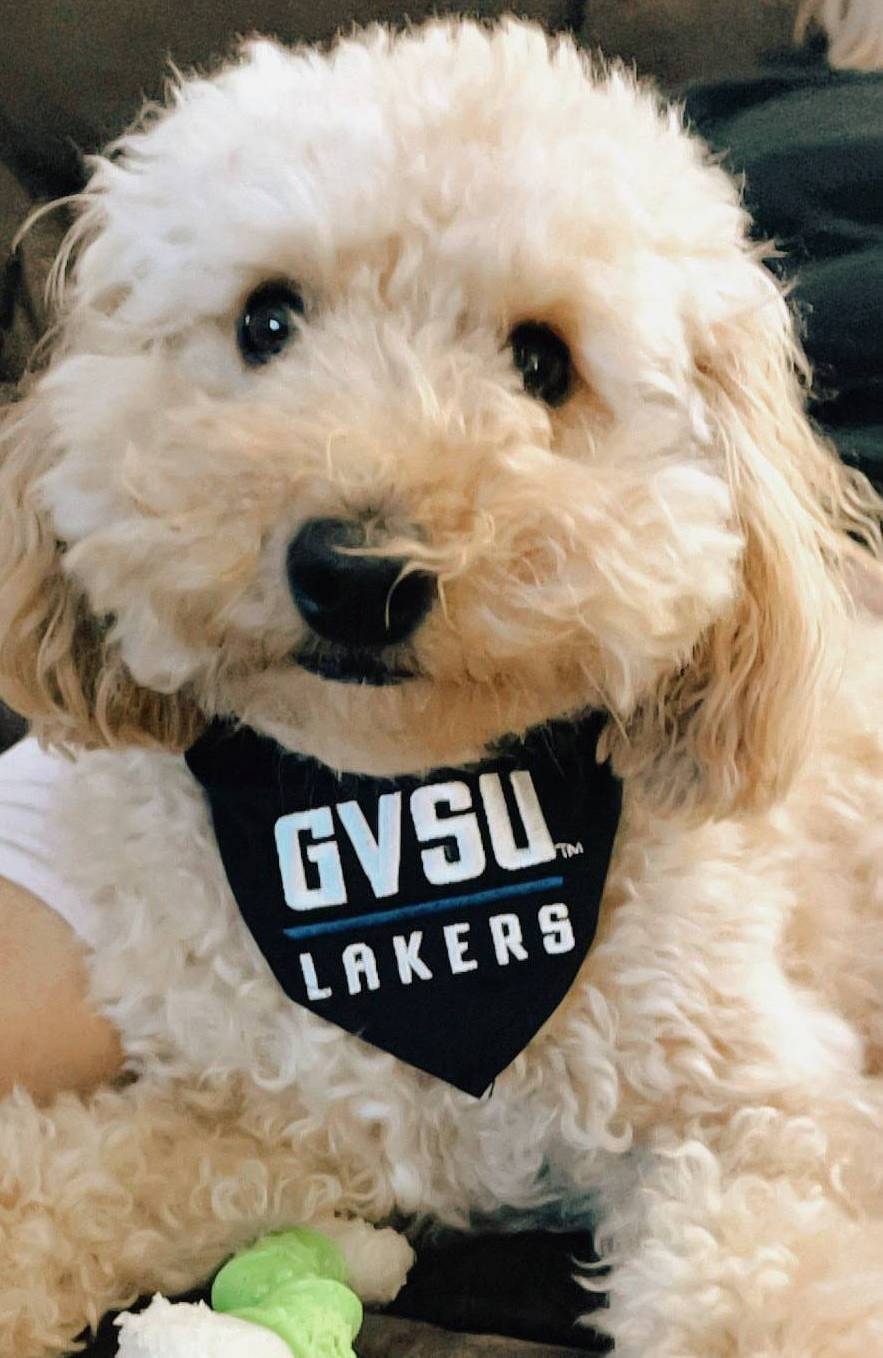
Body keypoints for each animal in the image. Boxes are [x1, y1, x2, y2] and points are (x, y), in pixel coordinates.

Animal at [1, 17, 882, 1358]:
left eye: (543, 361)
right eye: (267, 319)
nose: (357, 574)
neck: (405, 818)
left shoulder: (765, 1110)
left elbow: (769, 1284)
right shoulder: (277, 1105)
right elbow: (79, 1170)